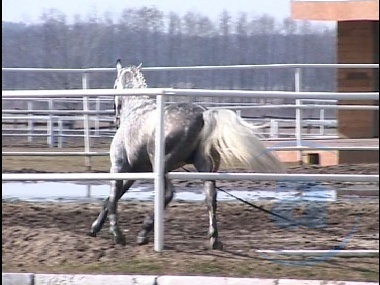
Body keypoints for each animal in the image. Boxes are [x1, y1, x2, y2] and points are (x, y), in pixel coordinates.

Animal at [90, 60, 284, 248]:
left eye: (114, 85)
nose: (115, 116)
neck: (135, 111)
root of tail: (203, 114)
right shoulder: (133, 173)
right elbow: (111, 198)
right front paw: (95, 228)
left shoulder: (118, 166)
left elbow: (113, 198)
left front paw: (117, 235)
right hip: (204, 166)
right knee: (210, 197)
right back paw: (214, 239)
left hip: (162, 165)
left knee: (168, 194)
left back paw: (143, 233)